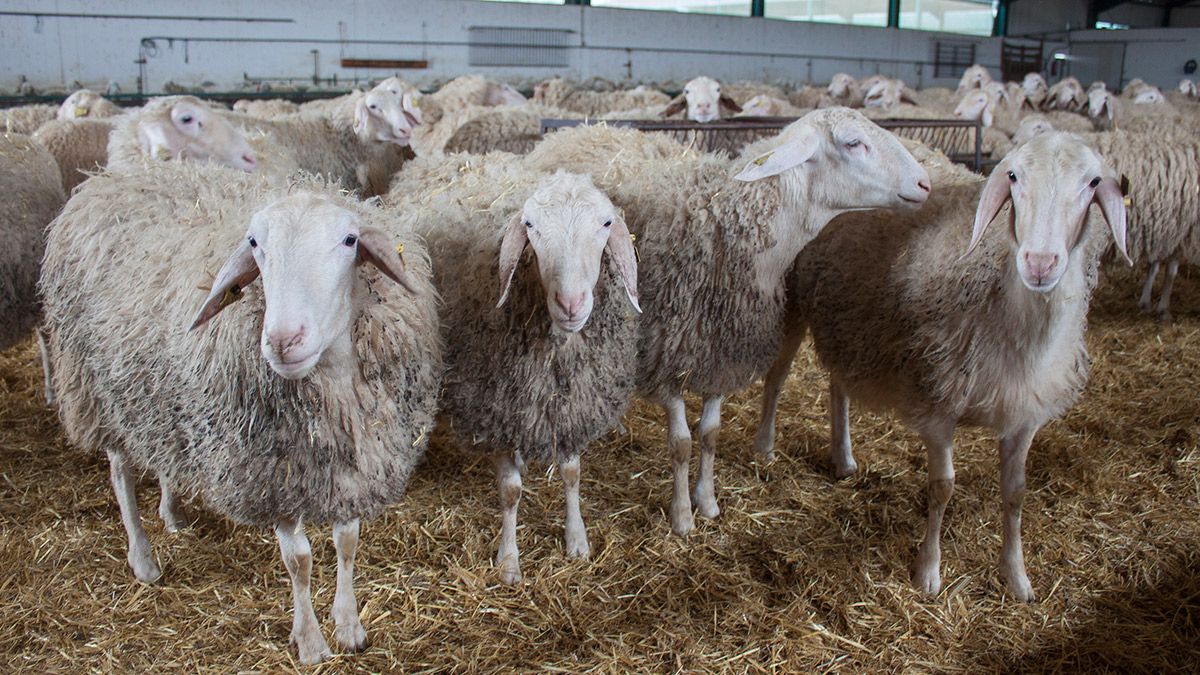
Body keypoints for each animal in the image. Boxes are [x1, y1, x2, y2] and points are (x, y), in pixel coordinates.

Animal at [42, 163, 448, 662]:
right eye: (254, 243)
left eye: (350, 240)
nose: (282, 341)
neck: (334, 383)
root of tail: (105, 176)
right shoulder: (272, 477)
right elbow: (299, 561)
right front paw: (310, 642)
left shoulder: (354, 464)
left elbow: (347, 544)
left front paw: (350, 627)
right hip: (101, 392)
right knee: (121, 474)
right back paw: (143, 559)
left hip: (159, 402)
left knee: (161, 457)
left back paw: (172, 513)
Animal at [391, 162, 638, 578]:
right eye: (531, 225)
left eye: (606, 223)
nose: (571, 304)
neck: (556, 353)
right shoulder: (495, 410)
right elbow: (510, 491)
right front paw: (508, 560)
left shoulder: (570, 408)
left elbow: (572, 474)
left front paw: (577, 540)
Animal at [530, 107, 931, 533]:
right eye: (854, 143)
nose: (925, 184)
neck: (731, 222)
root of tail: (581, 129)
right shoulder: (667, 354)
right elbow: (681, 444)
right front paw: (682, 516)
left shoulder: (719, 353)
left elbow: (710, 434)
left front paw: (707, 501)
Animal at [748, 131, 1123, 598]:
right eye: (1013, 176)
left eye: (1093, 183)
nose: (1040, 263)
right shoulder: (937, 400)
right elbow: (942, 487)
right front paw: (928, 572)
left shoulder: (1023, 411)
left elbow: (1016, 492)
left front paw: (1016, 577)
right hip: (793, 295)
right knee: (778, 377)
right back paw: (765, 448)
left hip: (849, 316)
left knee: (838, 384)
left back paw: (843, 458)